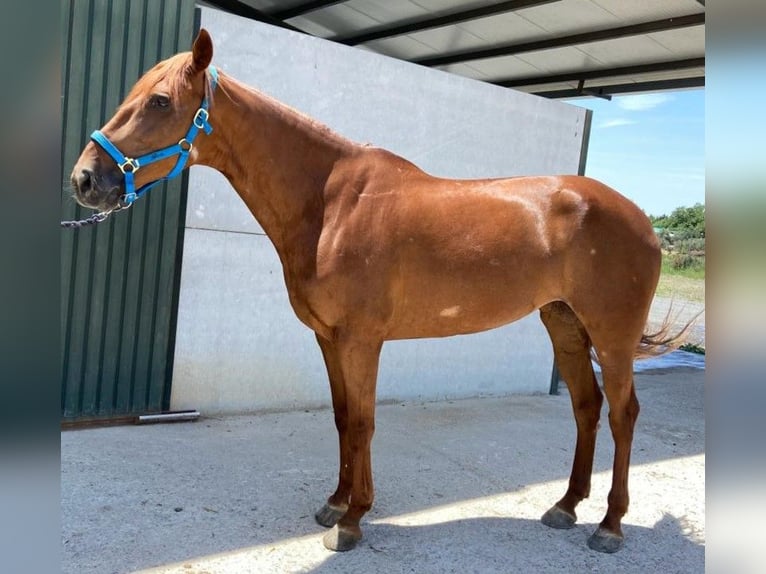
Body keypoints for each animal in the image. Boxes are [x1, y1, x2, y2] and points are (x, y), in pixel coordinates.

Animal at [73, 29, 684, 556]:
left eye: (158, 101)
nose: (85, 179)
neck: (330, 203)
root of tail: (643, 219)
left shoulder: (361, 340)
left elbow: (364, 422)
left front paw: (353, 521)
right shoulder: (329, 339)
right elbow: (344, 418)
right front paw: (335, 502)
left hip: (612, 335)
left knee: (623, 413)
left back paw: (609, 526)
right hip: (564, 324)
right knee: (586, 406)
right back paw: (566, 506)